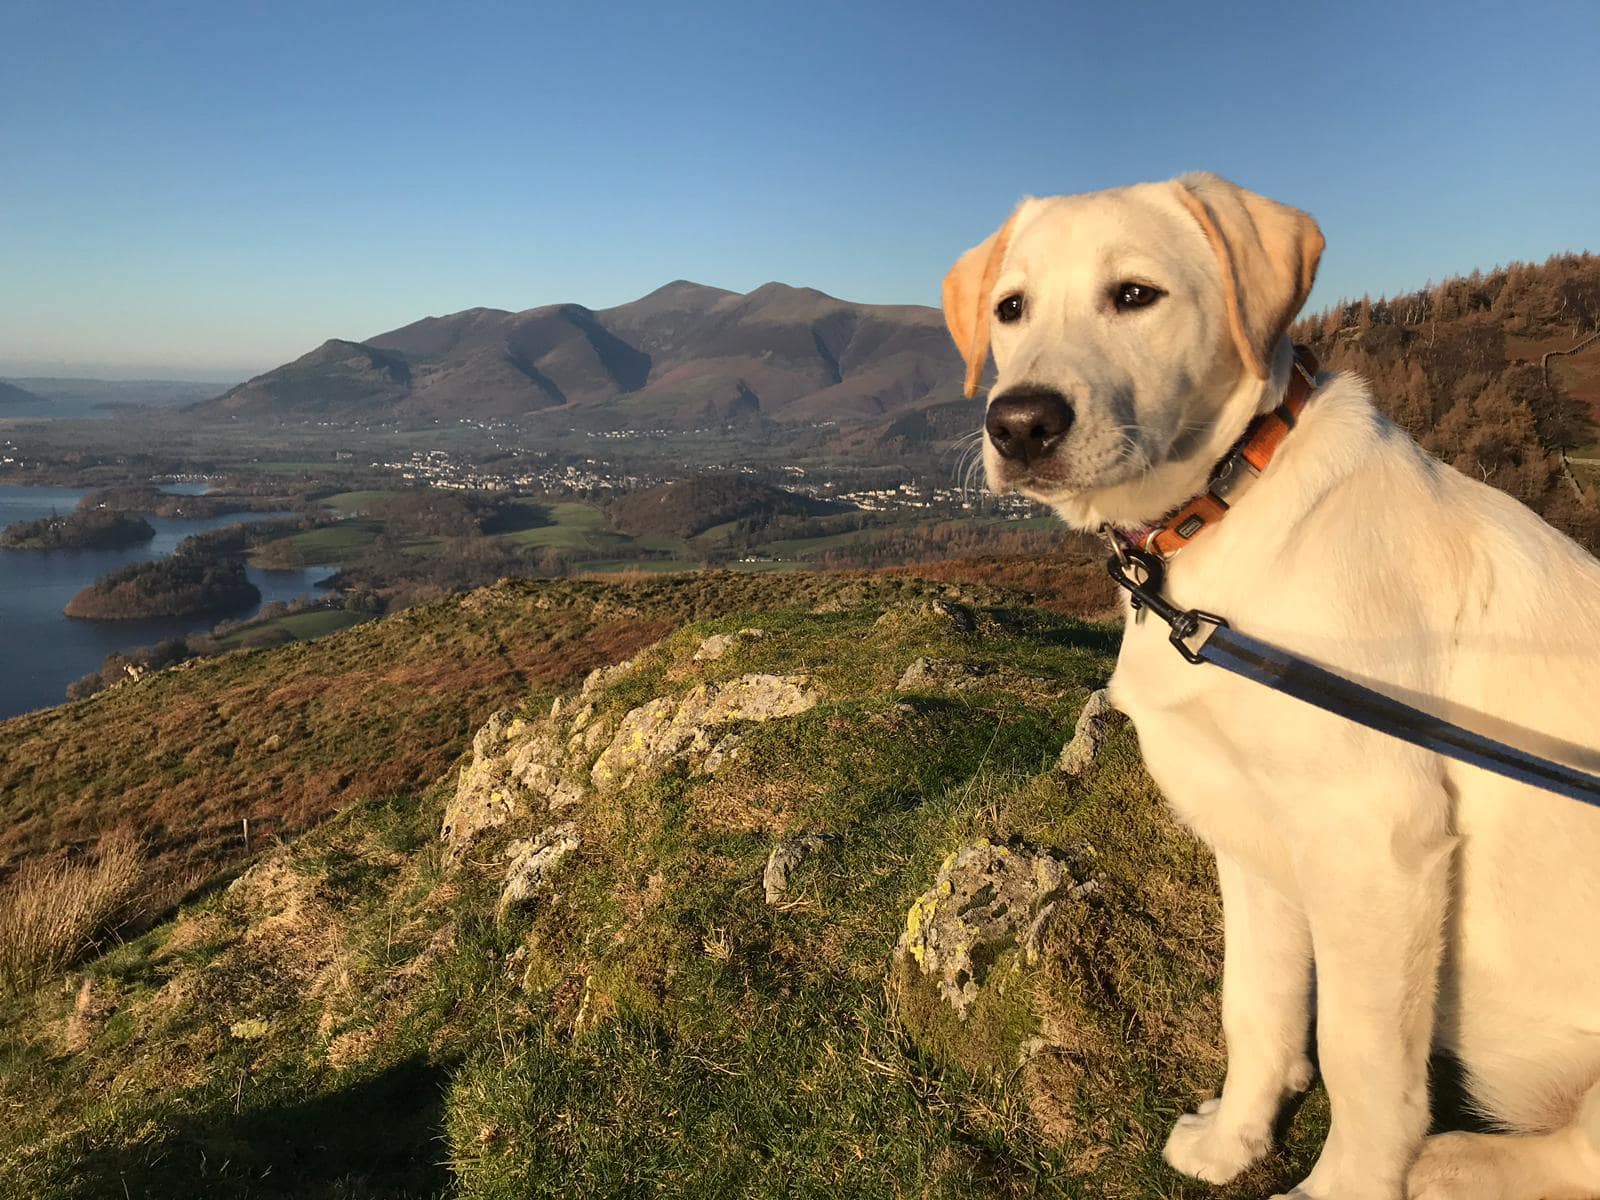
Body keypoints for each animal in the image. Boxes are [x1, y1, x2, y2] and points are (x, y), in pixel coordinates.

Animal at [940, 171, 1600, 1200]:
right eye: (1010, 308)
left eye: (1135, 294)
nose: (1018, 423)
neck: (1218, 513)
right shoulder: (1250, 836)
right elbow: (1255, 1003)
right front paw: (1238, 1138)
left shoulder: (1377, 839)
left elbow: (1363, 1060)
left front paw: (1346, 1187)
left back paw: (1451, 1163)